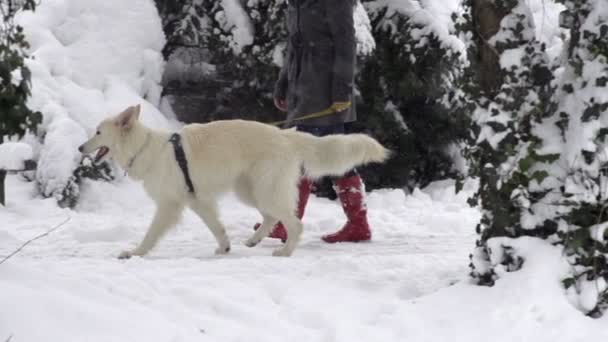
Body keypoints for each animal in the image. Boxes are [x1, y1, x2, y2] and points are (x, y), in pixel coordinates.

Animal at [79, 104, 390, 256]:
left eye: (97, 132)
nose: (81, 148)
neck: (145, 147)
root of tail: (285, 135)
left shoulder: (169, 205)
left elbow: (151, 234)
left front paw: (135, 253)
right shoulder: (199, 201)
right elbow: (217, 227)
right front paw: (224, 248)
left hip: (264, 191)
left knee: (294, 223)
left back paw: (285, 251)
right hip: (250, 191)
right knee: (271, 218)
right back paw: (254, 240)